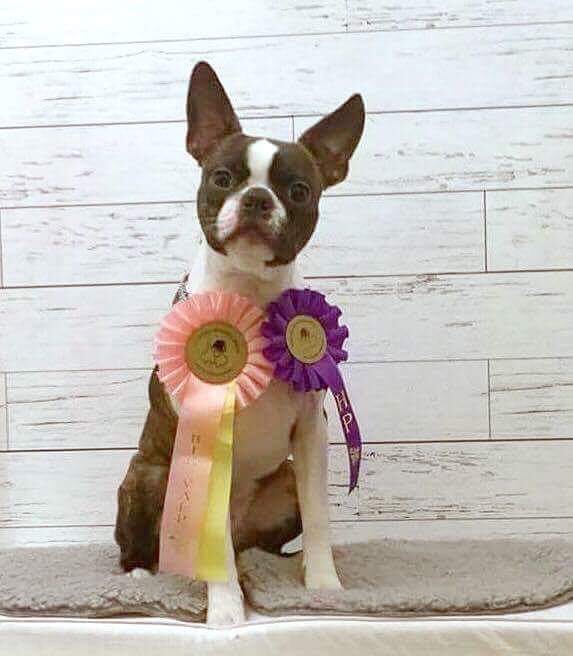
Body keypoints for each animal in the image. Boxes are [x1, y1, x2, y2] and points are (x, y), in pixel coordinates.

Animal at [115, 61, 365, 625]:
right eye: (222, 178)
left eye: (299, 191)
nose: (256, 198)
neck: (248, 300)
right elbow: (218, 557)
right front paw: (226, 611)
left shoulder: (311, 435)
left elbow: (321, 518)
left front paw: (324, 587)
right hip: (148, 474)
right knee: (159, 548)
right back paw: (143, 574)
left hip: (284, 481)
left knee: (257, 543)